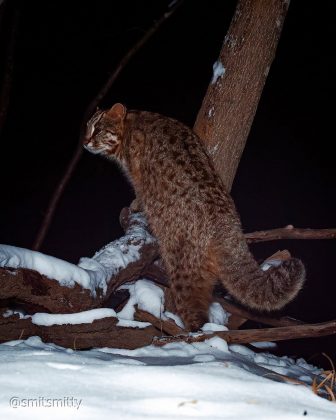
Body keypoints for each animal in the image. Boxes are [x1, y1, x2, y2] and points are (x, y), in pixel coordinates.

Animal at [83, 102, 304, 332]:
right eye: (87, 127)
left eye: (98, 129)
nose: (85, 141)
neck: (131, 124)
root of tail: (226, 219)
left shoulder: (140, 175)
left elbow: (141, 193)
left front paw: (137, 204)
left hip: (183, 266)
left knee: (195, 311)